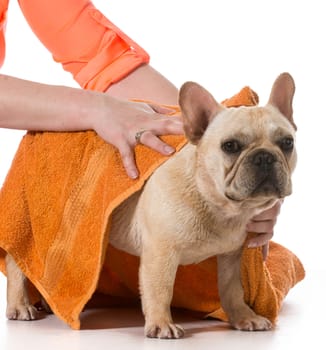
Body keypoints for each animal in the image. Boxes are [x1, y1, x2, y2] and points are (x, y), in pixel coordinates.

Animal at [5, 72, 296, 338]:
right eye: (231, 146)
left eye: (287, 143)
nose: (264, 157)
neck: (218, 205)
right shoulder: (161, 253)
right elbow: (160, 290)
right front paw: (161, 324)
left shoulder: (230, 256)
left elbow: (232, 289)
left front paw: (244, 317)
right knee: (18, 262)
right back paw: (20, 306)